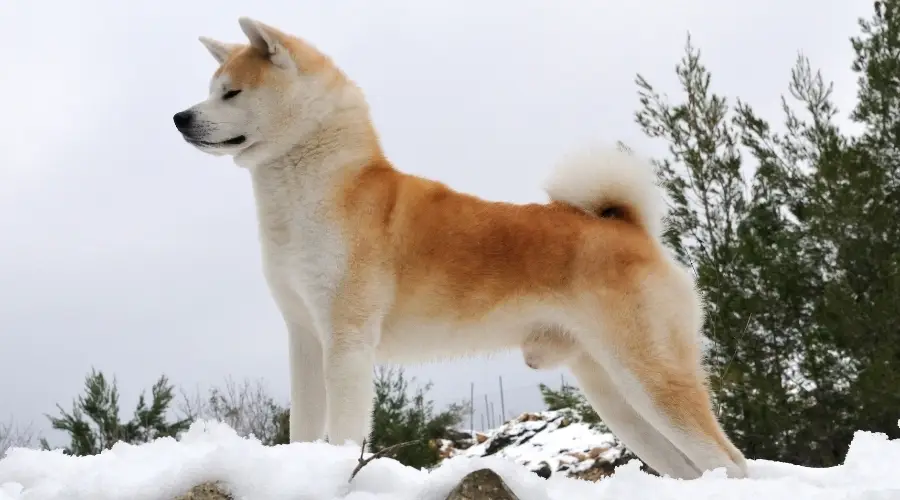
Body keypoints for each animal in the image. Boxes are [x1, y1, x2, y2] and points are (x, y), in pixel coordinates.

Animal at [172, 16, 748, 480]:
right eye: (212, 89)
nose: (180, 117)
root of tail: (629, 226)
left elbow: (345, 431)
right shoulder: (304, 336)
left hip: (649, 377)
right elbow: (304, 427)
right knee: (691, 468)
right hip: (613, 394)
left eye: (231, 93)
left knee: (732, 461)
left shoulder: (347, 339)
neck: (316, 190)